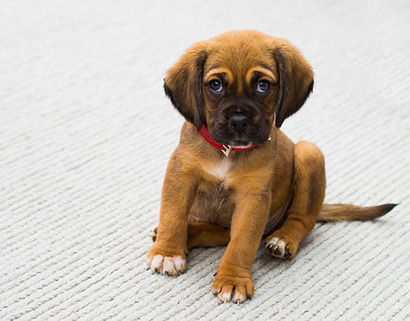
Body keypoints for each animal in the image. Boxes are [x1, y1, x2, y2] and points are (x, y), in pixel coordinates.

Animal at [146, 31, 396, 304]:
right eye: (215, 85)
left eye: (263, 85)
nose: (239, 121)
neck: (228, 151)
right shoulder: (180, 176)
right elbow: (173, 216)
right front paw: (168, 252)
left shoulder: (253, 198)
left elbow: (242, 242)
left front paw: (233, 279)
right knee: (219, 233)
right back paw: (185, 233)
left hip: (309, 153)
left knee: (301, 221)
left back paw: (283, 239)